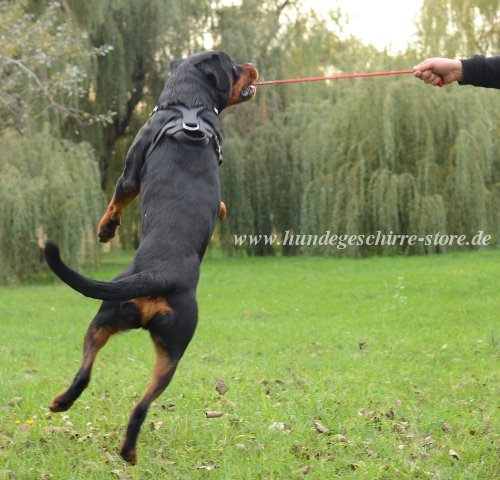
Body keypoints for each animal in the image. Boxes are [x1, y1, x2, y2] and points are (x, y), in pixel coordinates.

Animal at [44, 50, 258, 464]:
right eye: (236, 67)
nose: (254, 66)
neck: (187, 104)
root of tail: (158, 274)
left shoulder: (129, 173)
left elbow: (116, 200)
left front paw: (105, 230)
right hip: (145, 338)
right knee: (123, 395)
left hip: (133, 329)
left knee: (110, 389)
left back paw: (102, 433)